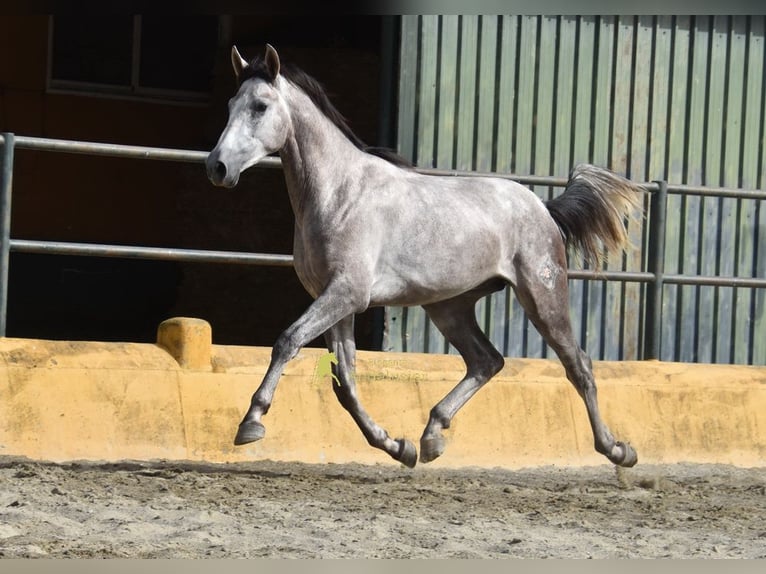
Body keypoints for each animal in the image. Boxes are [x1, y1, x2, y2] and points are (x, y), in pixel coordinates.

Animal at [206, 44, 642, 469]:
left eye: (260, 106)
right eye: (230, 104)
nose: (217, 166)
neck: (339, 192)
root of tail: (543, 208)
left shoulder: (347, 293)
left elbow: (288, 340)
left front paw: (251, 422)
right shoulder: (335, 300)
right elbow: (344, 381)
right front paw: (397, 447)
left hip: (542, 296)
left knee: (578, 365)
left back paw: (618, 450)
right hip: (450, 307)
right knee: (486, 361)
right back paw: (432, 436)